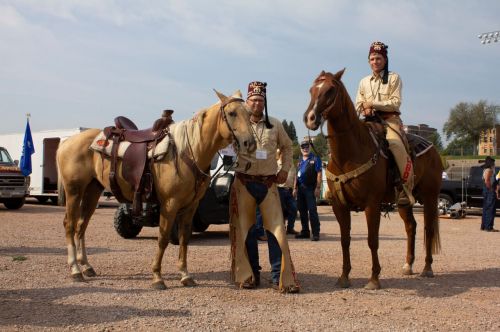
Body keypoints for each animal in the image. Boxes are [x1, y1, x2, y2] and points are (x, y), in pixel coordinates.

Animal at [56, 89, 256, 290]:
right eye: (232, 113)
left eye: (249, 114)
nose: (250, 143)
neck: (187, 152)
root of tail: (67, 142)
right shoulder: (170, 204)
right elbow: (163, 238)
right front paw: (157, 277)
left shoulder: (191, 206)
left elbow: (184, 238)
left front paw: (185, 275)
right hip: (74, 190)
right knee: (69, 224)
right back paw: (75, 270)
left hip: (92, 190)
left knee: (81, 225)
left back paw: (87, 267)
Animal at [304, 68, 442, 290]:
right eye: (312, 89)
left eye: (330, 90)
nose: (310, 118)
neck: (350, 153)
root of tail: (433, 150)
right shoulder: (339, 205)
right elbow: (345, 240)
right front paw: (344, 277)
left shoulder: (372, 204)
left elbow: (372, 240)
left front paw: (374, 279)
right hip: (404, 202)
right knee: (411, 227)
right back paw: (408, 265)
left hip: (430, 197)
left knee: (428, 229)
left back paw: (427, 268)